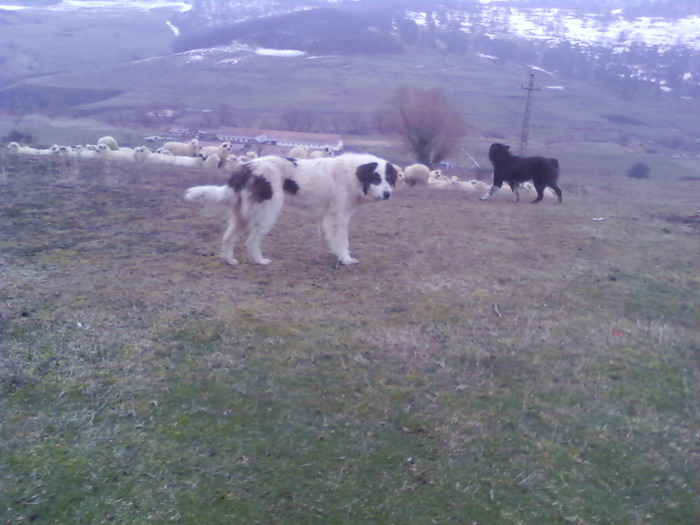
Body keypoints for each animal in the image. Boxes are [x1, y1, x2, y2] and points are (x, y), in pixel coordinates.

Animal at [183, 151, 400, 266]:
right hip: (267, 212)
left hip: (242, 215)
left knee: (228, 237)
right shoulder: (338, 217)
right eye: (375, 178)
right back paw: (259, 261)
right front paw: (345, 259)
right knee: (251, 240)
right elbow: (342, 241)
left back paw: (229, 261)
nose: (387, 194)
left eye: (388, 179)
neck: (352, 175)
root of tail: (247, 168)